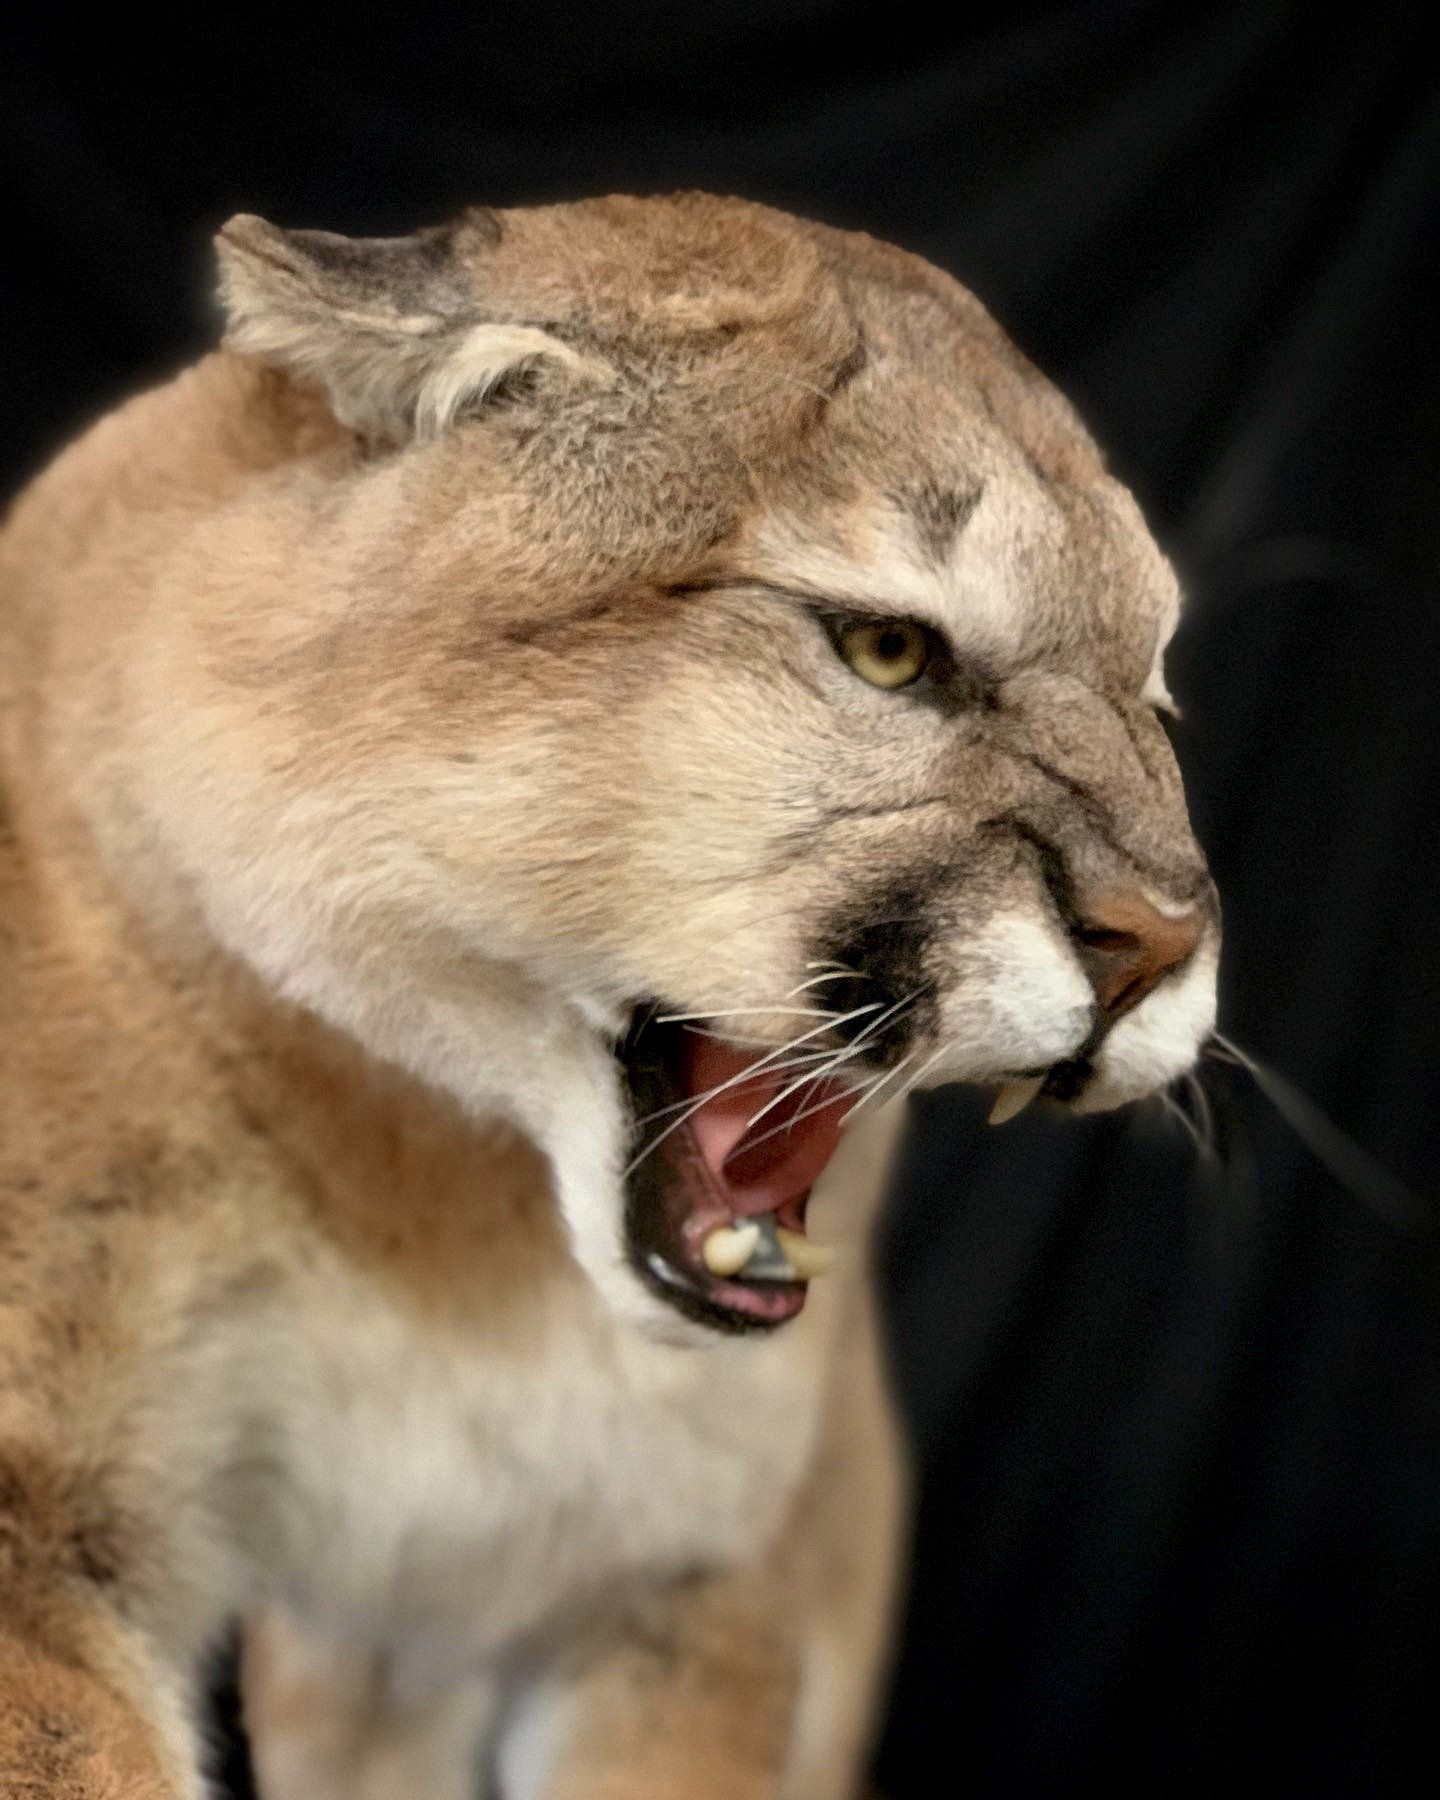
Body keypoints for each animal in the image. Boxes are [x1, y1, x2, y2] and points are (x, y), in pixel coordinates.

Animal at [0, 192, 1217, 1797]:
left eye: (1157, 685)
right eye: (888, 649)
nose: (1161, 939)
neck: (448, 1208)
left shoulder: (684, 1587)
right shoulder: (41, 1520)